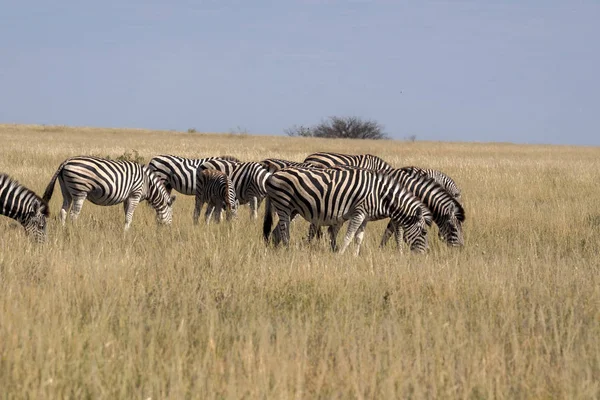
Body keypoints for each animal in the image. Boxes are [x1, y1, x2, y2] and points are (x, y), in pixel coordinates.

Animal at [42, 157, 176, 231]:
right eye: (172, 215)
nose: (168, 231)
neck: (148, 184)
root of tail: (66, 161)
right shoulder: (135, 194)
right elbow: (129, 216)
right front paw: (126, 234)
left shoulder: (127, 197)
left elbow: (126, 215)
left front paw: (125, 231)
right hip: (79, 191)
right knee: (73, 215)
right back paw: (74, 231)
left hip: (66, 190)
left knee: (63, 212)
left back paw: (63, 230)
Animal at [264, 166, 428, 255]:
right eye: (424, 232)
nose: (423, 254)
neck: (380, 195)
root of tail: (273, 174)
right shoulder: (359, 213)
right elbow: (349, 236)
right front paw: (341, 254)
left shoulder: (365, 217)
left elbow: (358, 238)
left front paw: (355, 256)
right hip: (283, 205)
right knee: (284, 231)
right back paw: (287, 250)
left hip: (292, 209)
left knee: (276, 232)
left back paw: (277, 251)